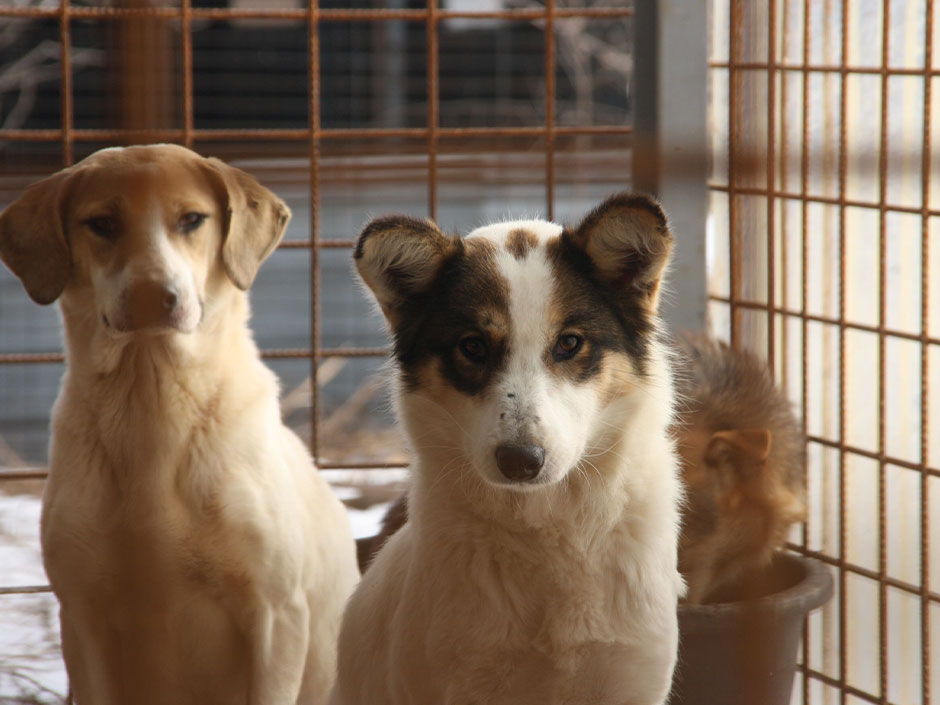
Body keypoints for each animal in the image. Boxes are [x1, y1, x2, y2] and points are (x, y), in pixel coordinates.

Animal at [0, 144, 360, 704]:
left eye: (192, 219)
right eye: (101, 223)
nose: (154, 295)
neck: (153, 406)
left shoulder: (277, 618)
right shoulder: (82, 622)